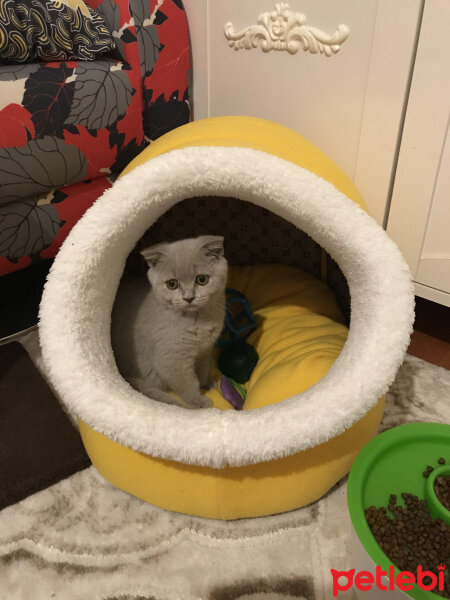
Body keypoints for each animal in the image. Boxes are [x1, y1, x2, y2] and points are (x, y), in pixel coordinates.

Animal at [110, 234, 227, 408]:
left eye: (202, 279)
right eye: (172, 284)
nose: (189, 298)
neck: (199, 320)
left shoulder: (205, 350)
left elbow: (203, 370)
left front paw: (208, 384)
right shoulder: (172, 360)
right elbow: (189, 384)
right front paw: (200, 402)